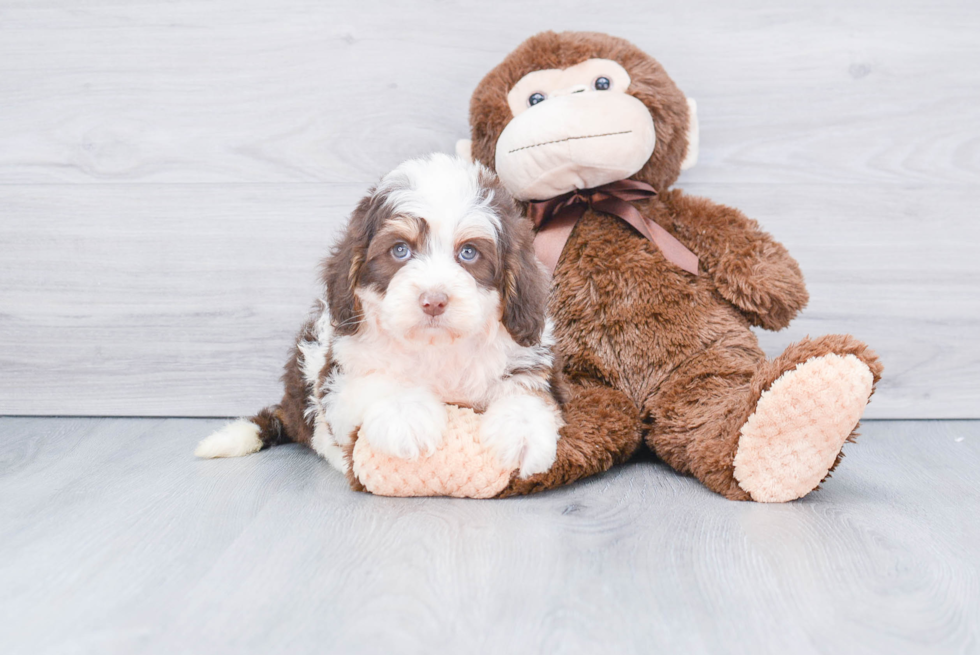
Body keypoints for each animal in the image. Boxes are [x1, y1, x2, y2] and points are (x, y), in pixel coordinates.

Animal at [195, 156, 564, 480]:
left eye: (469, 253)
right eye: (400, 250)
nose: (433, 301)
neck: (436, 347)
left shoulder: (525, 360)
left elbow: (526, 392)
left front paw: (522, 432)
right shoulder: (339, 377)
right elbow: (378, 381)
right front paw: (407, 415)